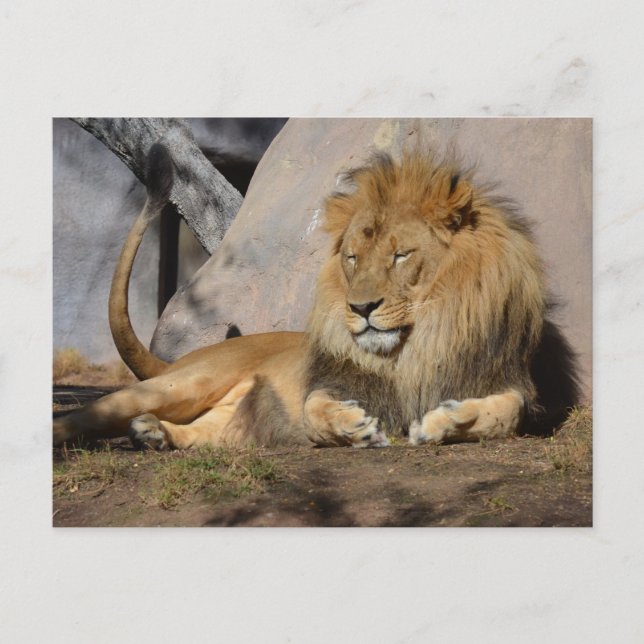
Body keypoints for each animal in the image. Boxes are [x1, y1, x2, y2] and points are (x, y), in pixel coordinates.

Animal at [53, 143, 576, 450]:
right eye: (352, 258)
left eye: (400, 255)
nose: (361, 308)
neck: (420, 344)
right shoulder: (330, 381)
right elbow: (313, 406)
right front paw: (353, 427)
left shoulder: (504, 378)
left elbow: (506, 413)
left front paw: (441, 422)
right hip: (179, 385)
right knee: (83, 414)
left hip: (225, 424)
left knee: (199, 434)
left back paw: (154, 434)